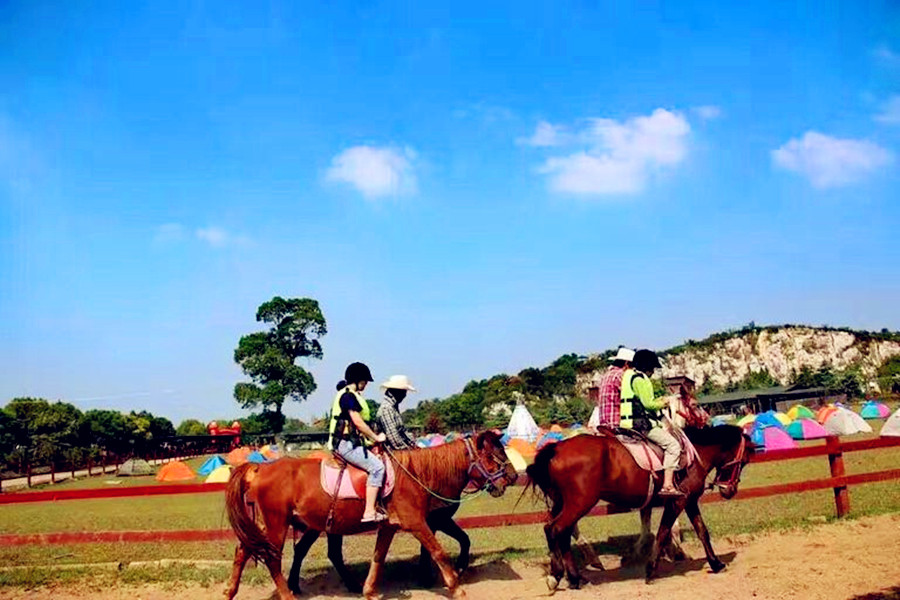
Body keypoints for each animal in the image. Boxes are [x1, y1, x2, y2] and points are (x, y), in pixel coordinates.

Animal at [224, 432, 512, 600]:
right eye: (491, 455)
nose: (510, 476)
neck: (415, 473)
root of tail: (260, 468)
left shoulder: (390, 526)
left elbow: (378, 558)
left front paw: (369, 591)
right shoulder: (417, 522)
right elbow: (438, 551)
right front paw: (456, 586)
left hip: (272, 524)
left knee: (244, 550)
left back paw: (230, 591)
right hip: (277, 523)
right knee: (272, 558)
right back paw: (288, 594)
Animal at [528, 426, 752, 592]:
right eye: (744, 461)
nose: (730, 490)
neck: (693, 454)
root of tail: (557, 448)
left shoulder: (689, 502)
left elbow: (702, 532)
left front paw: (716, 564)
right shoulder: (676, 503)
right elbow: (662, 533)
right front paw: (650, 570)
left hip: (564, 503)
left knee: (560, 532)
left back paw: (574, 578)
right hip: (580, 503)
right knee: (555, 529)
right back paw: (557, 576)